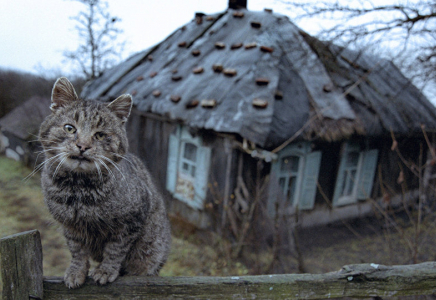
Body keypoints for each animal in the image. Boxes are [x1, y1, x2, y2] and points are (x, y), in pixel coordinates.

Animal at [39, 77, 171, 288]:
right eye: (70, 128)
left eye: (100, 135)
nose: (82, 146)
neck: (79, 189)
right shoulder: (70, 227)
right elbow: (77, 252)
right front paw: (76, 272)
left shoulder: (129, 223)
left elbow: (115, 250)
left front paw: (105, 271)